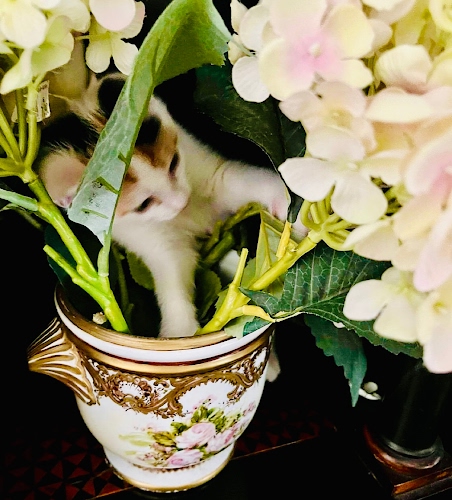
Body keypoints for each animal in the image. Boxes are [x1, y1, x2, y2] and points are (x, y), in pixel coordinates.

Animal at [38, 74, 300, 341]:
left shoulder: (207, 166)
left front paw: (292, 206)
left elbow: (242, 181)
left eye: (174, 163)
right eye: (143, 205)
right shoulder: (149, 240)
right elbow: (172, 273)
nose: (180, 201)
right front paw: (179, 329)